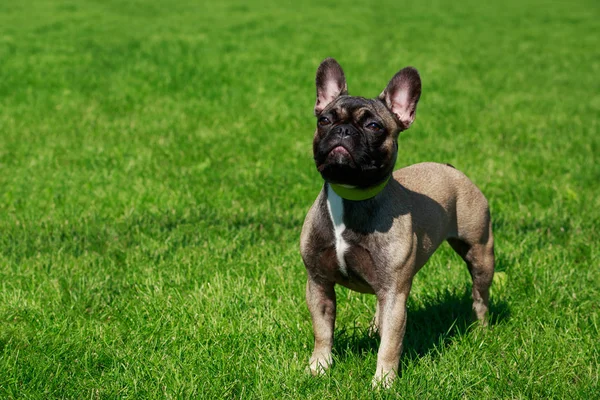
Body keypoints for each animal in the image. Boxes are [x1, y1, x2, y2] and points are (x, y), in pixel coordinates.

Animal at [300, 58, 496, 388]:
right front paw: (319, 367)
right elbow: (322, 331)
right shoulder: (319, 283)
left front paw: (383, 382)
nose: (343, 130)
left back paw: (481, 332)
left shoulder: (394, 292)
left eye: (373, 126)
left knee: (479, 298)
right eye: (324, 120)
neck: (351, 195)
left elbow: (390, 344)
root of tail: (451, 168)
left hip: (481, 254)